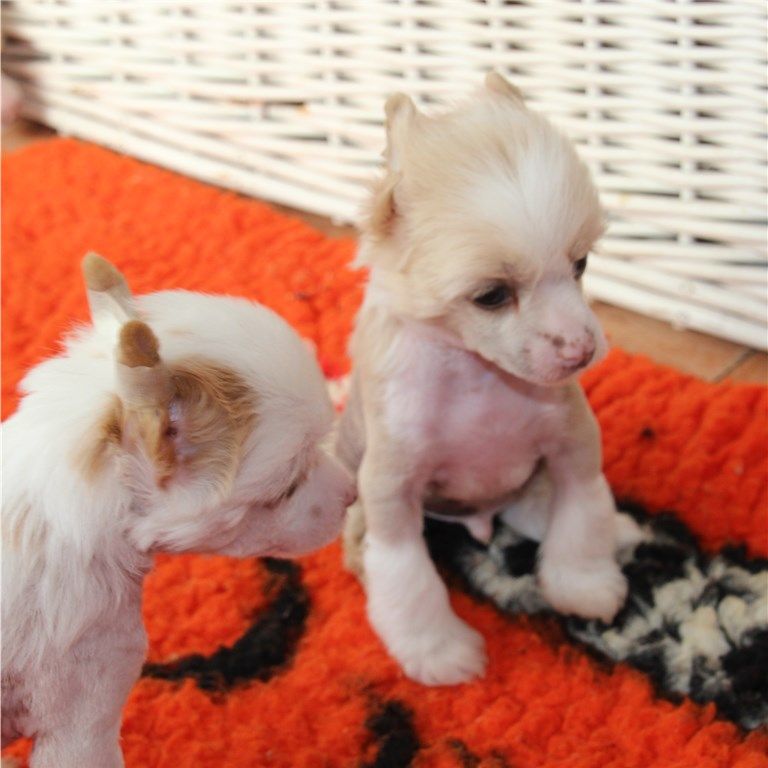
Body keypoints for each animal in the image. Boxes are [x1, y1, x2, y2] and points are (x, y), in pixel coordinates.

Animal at [336, 73, 642, 686]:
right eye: (492, 296)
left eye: (581, 265)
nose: (582, 350)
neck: (477, 378)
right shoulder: (391, 490)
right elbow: (407, 576)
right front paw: (436, 651)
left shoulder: (572, 449)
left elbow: (582, 515)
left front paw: (584, 584)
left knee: (543, 514)